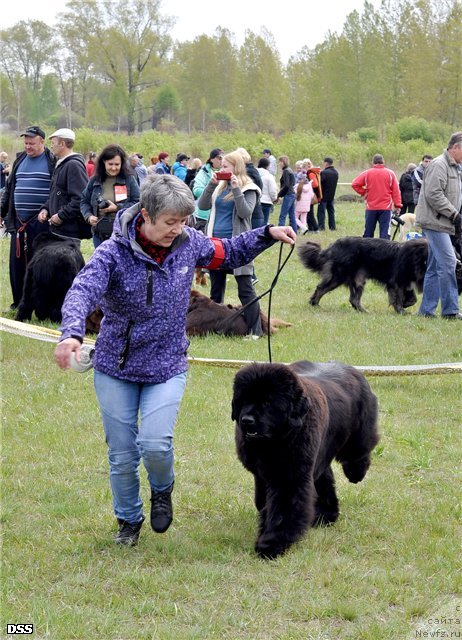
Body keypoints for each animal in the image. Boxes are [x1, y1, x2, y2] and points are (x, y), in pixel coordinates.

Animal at [231, 360, 378, 560]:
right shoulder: (262, 474)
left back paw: (356, 473)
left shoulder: (290, 478)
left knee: (360, 450)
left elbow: (283, 512)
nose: (246, 420)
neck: (274, 442)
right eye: (244, 400)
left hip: (358, 434)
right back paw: (326, 514)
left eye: (268, 402)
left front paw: (271, 545)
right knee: (324, 479)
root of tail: (352, 369)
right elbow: (264, 502)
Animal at [300, 236, 436, 314]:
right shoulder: (397, 282)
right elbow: (398, 298)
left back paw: (363, 311)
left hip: (357, 279)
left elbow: (412, 299)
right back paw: (315, 304)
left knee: (353, 299)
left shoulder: (406, 282)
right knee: (321, 288)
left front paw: (404, 305)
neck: (417, 256)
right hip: (339, 275)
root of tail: (332, 247)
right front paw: (401, 310)